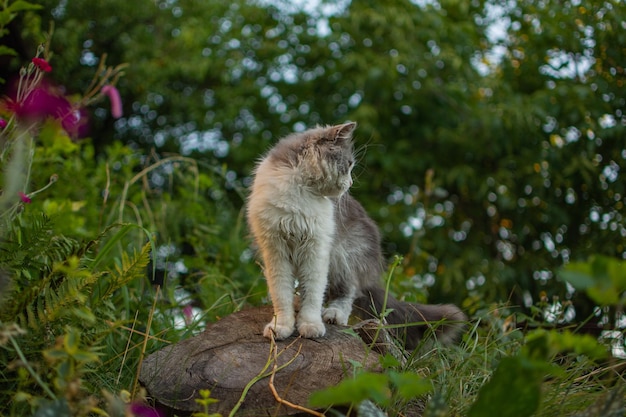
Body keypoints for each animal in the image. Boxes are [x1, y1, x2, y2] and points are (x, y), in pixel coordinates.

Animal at [246, 121, 466, 348]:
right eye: (349, 164)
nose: (350, 183)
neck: (300, 191)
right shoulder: (275, 250)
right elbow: (281, 294)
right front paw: (281, 327)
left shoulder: (317, 249)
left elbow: (313, 293)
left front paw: (310, 325)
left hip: (345, 256)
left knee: (348, 290)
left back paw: (333, 315)